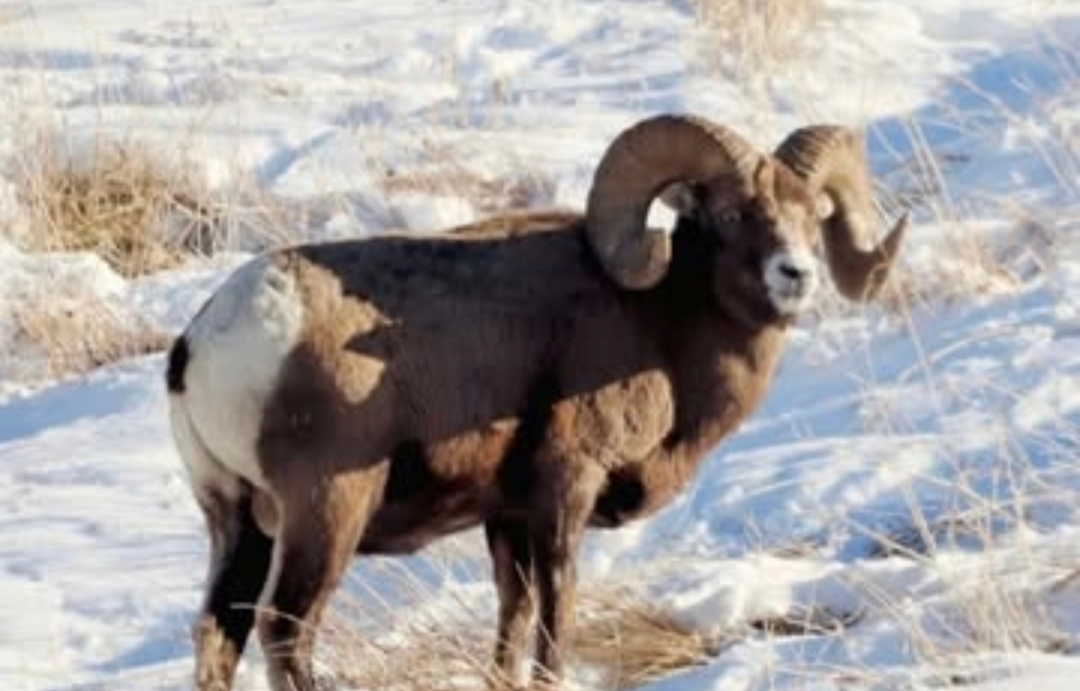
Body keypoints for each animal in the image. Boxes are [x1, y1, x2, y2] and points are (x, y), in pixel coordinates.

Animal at [165, 114, 906, 691]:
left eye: (814, 217)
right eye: (728, 215)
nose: (796, 275)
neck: (659, 325)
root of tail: (202, 343)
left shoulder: (507, 516)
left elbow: (514, 615)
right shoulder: (564, 491)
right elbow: (556, 611)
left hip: (240, 522)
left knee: (219, 633)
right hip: (324, 514)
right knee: (286, 630)